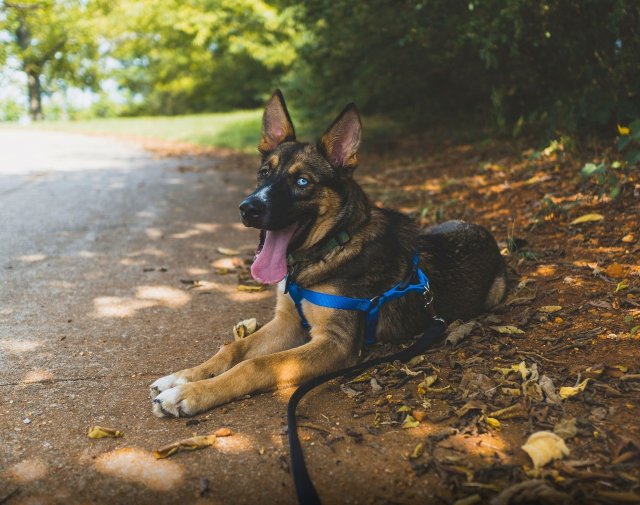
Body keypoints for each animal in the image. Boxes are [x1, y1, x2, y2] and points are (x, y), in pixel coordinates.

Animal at [150, 89, 504, 418]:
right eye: (264, 172)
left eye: (302, 181)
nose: (248, 209)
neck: (330, 248)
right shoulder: (288, 322)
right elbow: (234, 349)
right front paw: (183, 377)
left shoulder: (334, 343)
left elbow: (257, 365)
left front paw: (190, 393)